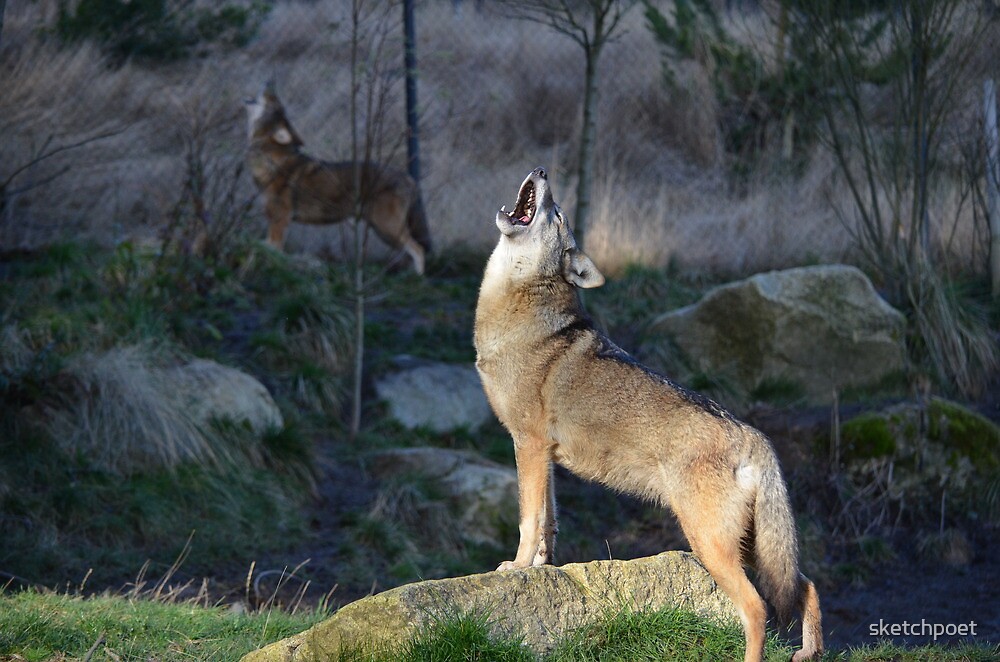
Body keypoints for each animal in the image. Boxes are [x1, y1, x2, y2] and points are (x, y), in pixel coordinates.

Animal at [244, 85, 432, 274]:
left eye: (274, 102)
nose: (269, 87)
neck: (271, 162)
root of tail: (408, 178)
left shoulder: (280, 219)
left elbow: (274, 250)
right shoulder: (276, 220)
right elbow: (268, 246)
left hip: (388, 228)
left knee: (419, 250)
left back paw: (417, 278)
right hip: (383, 231)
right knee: (411, 251)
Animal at [472, 167, 824, 662]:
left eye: (556, 214)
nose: (542, 171)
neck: (517, 312)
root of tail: (755, 437)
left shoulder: (529, 445)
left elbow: (528, 521)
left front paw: (517, 568)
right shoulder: (546, 458)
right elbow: (549, 523)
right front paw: (541, 567)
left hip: (712, 546)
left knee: (758, 608)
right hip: (754, 548)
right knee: (806, 585)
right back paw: (808, 653)